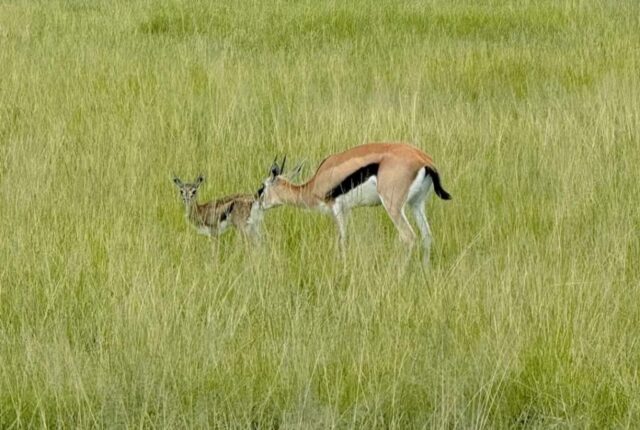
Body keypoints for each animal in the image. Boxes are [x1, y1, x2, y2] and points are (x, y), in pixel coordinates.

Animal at [257, 142, 451, 264]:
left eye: (262, 188)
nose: (258, 204)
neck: (314, 185)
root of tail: (423, 160)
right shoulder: (347, 210)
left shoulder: (336, 208)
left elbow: (342, 239)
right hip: (416, 204)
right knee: (427, 236)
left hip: (393, 207)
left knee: (409, 237)